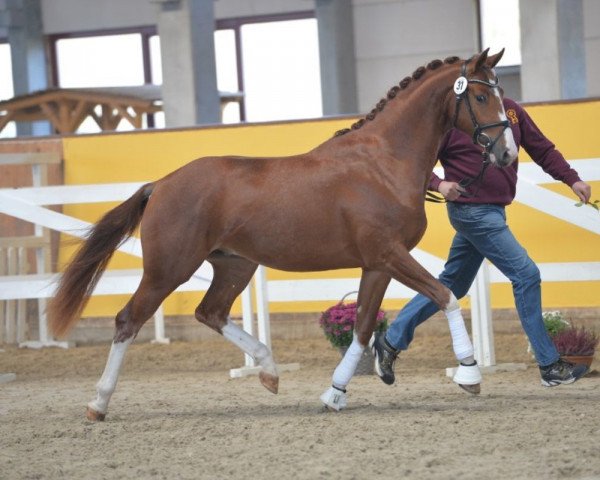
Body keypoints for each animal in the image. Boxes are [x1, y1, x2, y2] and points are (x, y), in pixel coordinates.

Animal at [48, 48, 516, 420]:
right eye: (480, 96)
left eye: (499, 94)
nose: (507, 153)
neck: (383, 164)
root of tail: (160, 184)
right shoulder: (390, 254)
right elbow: (445, 296)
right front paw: (469, 373)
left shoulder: (377, 264)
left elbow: (363, 327)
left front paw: (334, 394)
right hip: (168, 269)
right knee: (129, 320)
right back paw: (98, 403)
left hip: (234, 266)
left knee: (210, 312)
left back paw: (269, 371)